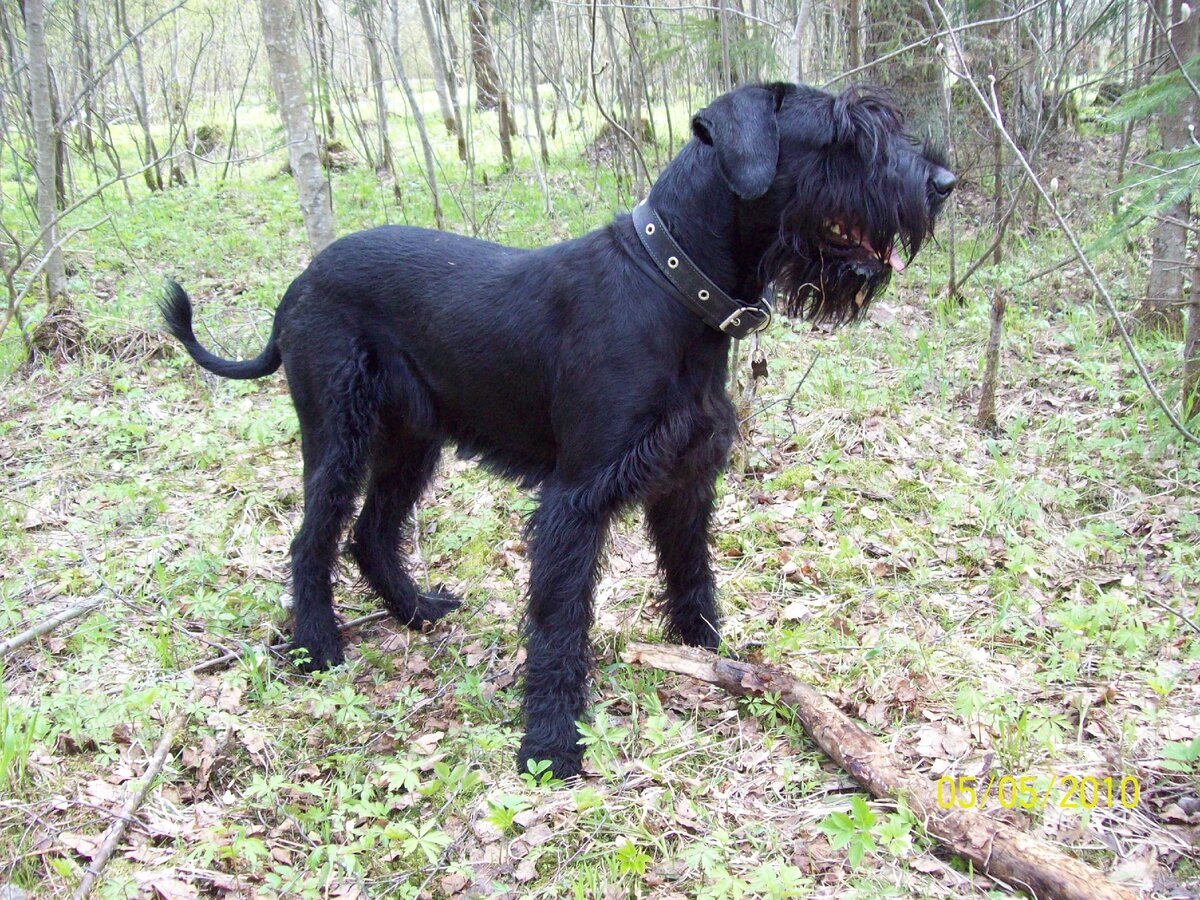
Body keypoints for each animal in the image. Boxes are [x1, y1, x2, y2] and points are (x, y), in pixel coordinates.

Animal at [164, 81, 955, 777]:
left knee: (371, 530)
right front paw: (549, 741)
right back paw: (316, 648)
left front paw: (705, 653)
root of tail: (298, 284)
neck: (671, 283)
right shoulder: (577, 498)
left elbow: (692, 573)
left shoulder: (685, 478)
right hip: (339, 436)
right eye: (846, 136)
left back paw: (416, 610)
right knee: (313, 539)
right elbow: (559, 618)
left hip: (410, 442)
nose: (944, 181)